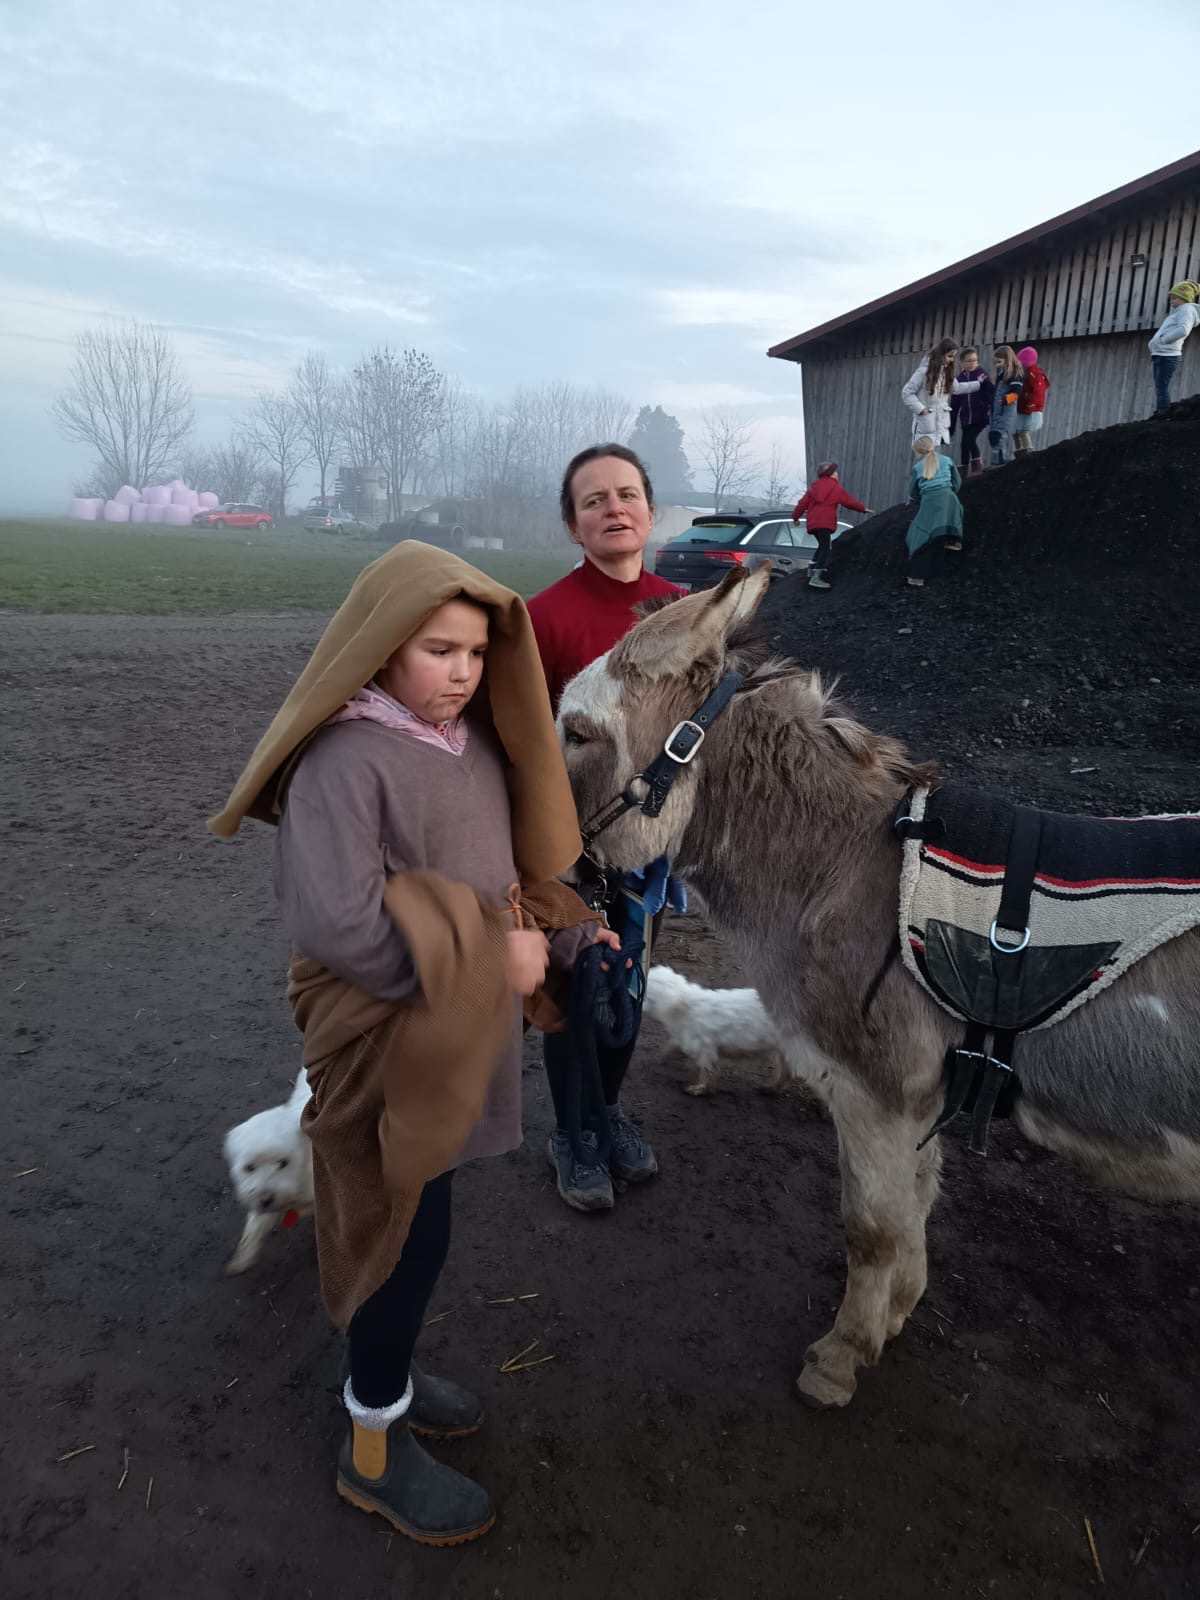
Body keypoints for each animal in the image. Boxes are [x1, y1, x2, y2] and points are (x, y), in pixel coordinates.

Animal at [555, 566, 1200, 1408]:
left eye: (576, 734)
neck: (846, 869)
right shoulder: (916, 1098)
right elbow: (914, 1207)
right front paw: (895, 1315)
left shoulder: (875, 1090)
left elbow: (871, 1227)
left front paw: (838, 1359)